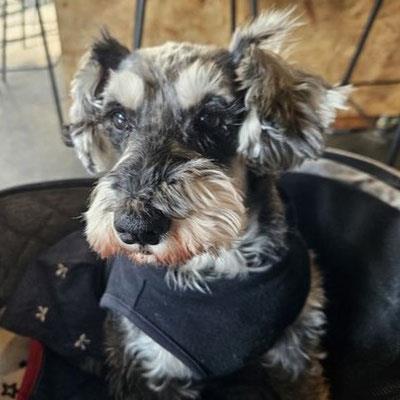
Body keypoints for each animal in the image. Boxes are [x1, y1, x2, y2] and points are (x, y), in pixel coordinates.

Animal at [63, 9, 349, 400]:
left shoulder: (296, 350)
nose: (136, 227)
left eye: (210, 117)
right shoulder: (153, 362)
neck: (215, 261)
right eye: (119, 118)